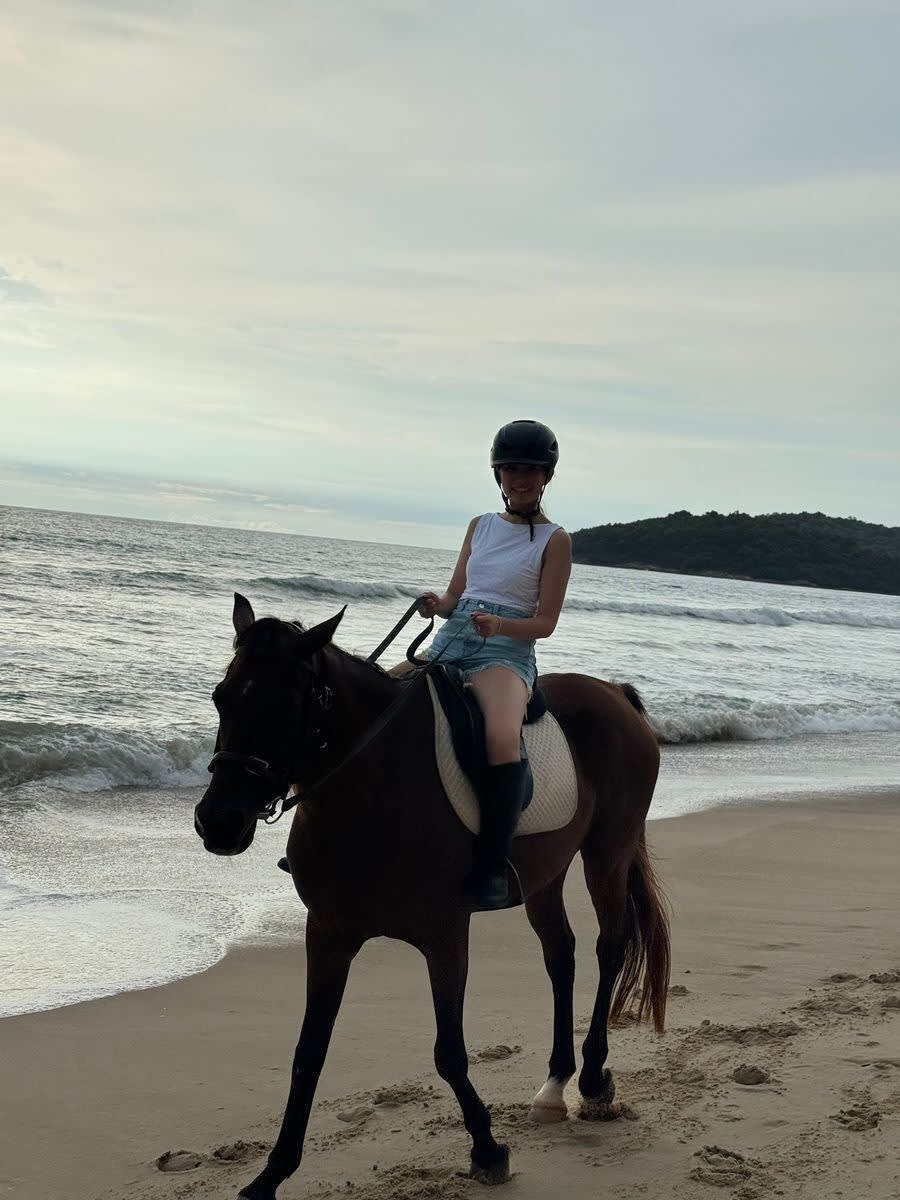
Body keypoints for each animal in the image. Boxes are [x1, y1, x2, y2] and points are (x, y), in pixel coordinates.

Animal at [194, 594, 670, 1200]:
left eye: (286, 705)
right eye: (221, 696)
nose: (219, 823)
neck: (373, 786)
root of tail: (614, 694)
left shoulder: (444, 935)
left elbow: (449, 1052)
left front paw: (488, 1148)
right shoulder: (328, 933)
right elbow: (309, 1053)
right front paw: (270, 1176)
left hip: (606, 852)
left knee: (609, 946)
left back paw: (590, 1079)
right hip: (546, 874)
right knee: (560, 955)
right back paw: (555, 1083)